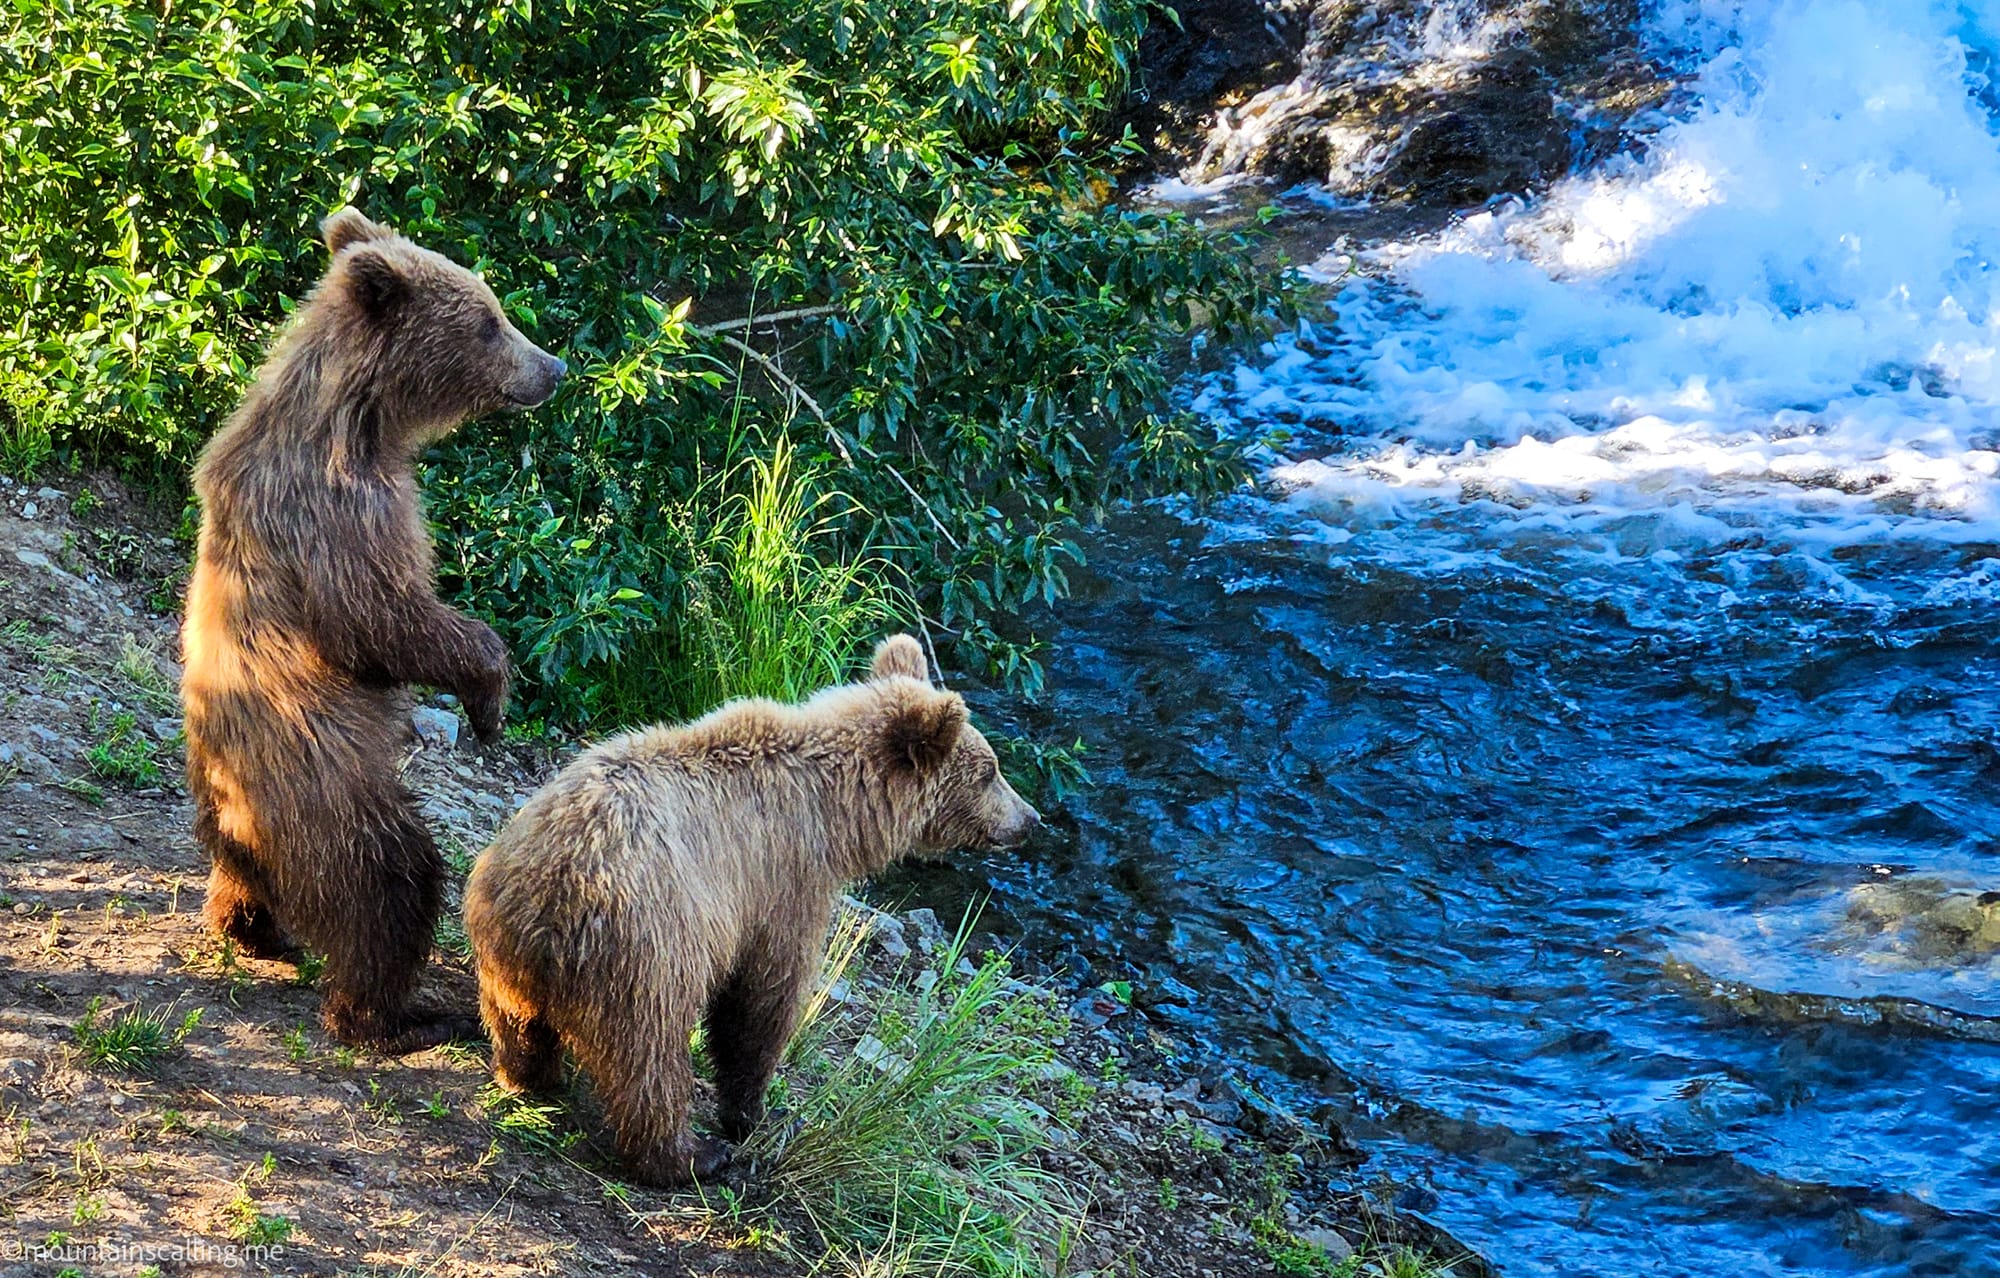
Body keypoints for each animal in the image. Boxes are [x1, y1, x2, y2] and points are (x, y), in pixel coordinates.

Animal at [180, 208, 566, 1052]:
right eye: (490, 322)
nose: (553, 366)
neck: (365, 420)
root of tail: (243, 820)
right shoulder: (338, 510)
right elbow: (382, 618)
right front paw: (490, 693)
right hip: (325, 793)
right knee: (390, 883)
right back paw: (392, 1015)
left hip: (228, 811)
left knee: (241, 879)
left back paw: (252, 931)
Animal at [462, 634, 1041, 1184]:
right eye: (989, 772)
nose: (1031, 819)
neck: (835, 811)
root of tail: (551, 896)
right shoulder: (783, 881)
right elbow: (764, 1000)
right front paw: (756, 1112)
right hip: (647, 950)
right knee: (649, 1058)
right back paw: (690, 1156)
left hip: (500, 941)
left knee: (518, 1026)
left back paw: (529, 1077)